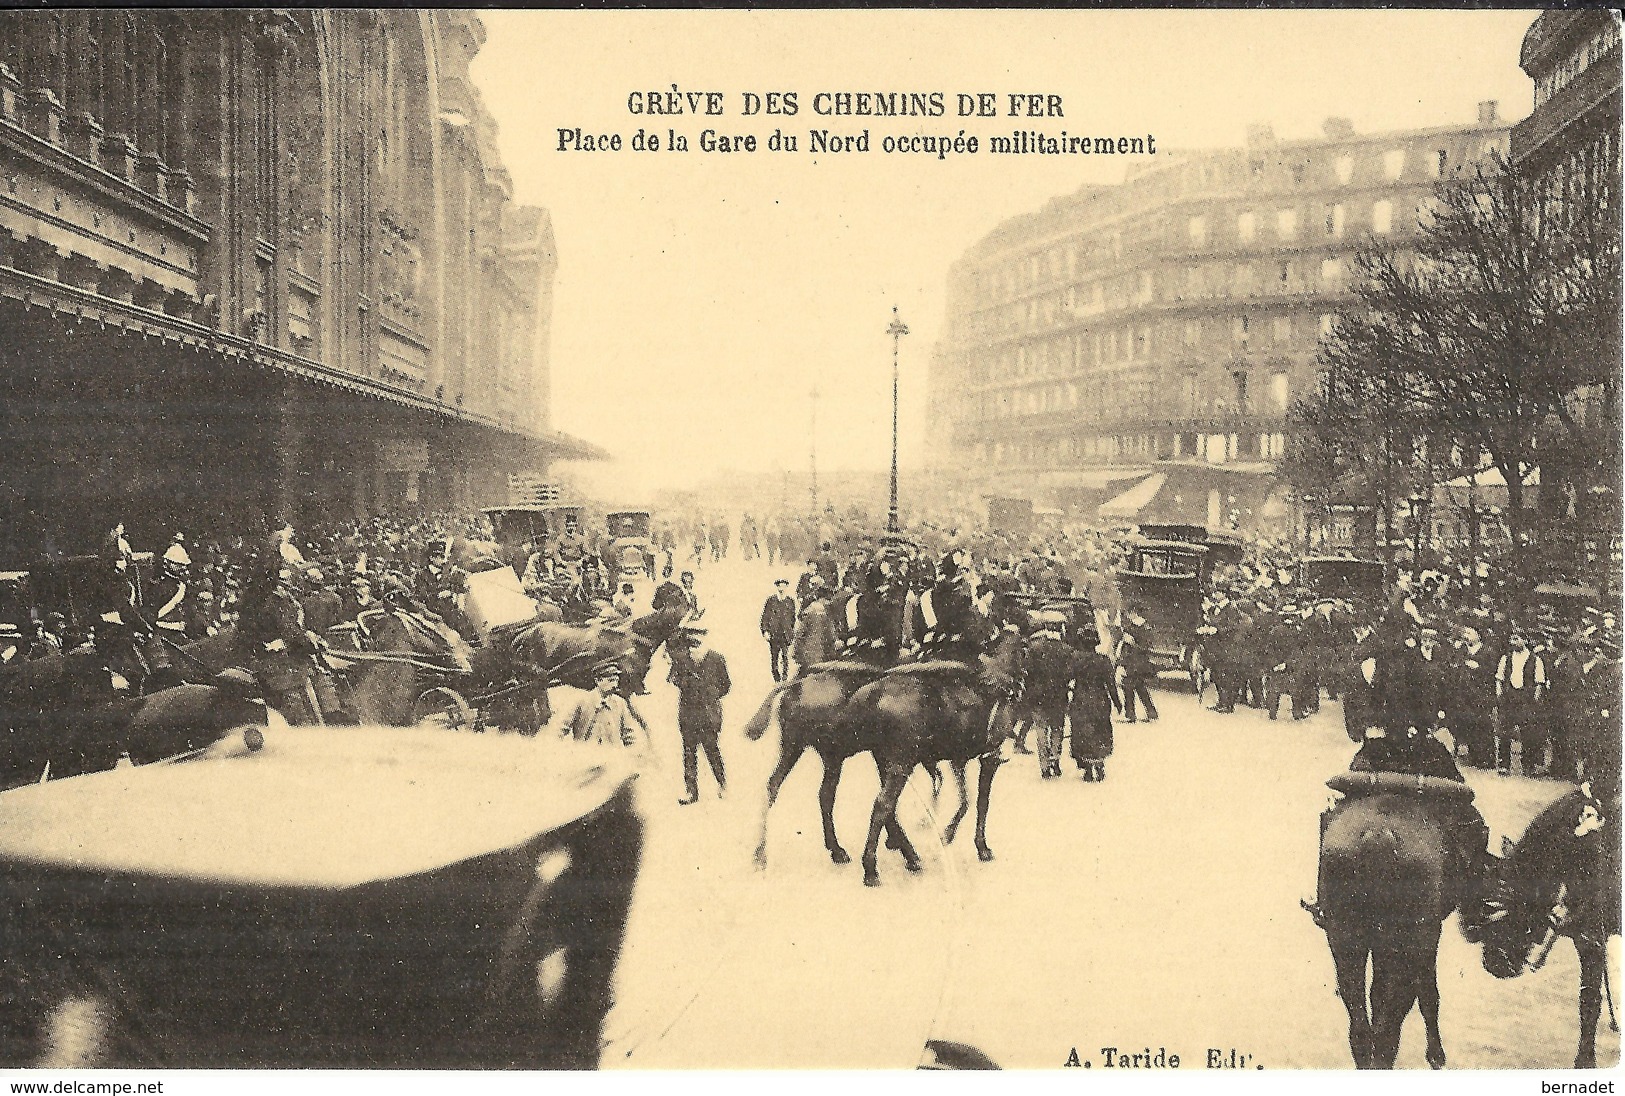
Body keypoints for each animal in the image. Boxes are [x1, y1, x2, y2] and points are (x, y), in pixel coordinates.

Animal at [838, 627, 1027, 884]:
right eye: (1024, 650)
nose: (1020, 686)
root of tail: (872, 692)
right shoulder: (989, 759)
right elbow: (981, 802)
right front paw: (979, 846)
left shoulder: (958, 761)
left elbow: (965, 798)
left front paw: (948, 832)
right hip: (901, 763)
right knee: (882, 805)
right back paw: (871, 869)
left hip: (885, 761)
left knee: (890, 809)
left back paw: (909, 855)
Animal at [1306, 780, 1488, 1073]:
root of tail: (1378, 834)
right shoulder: (1428, 939)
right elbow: (1427, 995)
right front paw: (1436, 1055)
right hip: (1412, 940)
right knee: (1391, 1018)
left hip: (1346, 938)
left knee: (1361, 1019)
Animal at [1462, 790, 1625, 1060]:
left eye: (1512, 899)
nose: (1495, 964)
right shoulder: (1586, 938)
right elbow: (1587, 999)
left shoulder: (1593, 939)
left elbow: (1591, 1000)